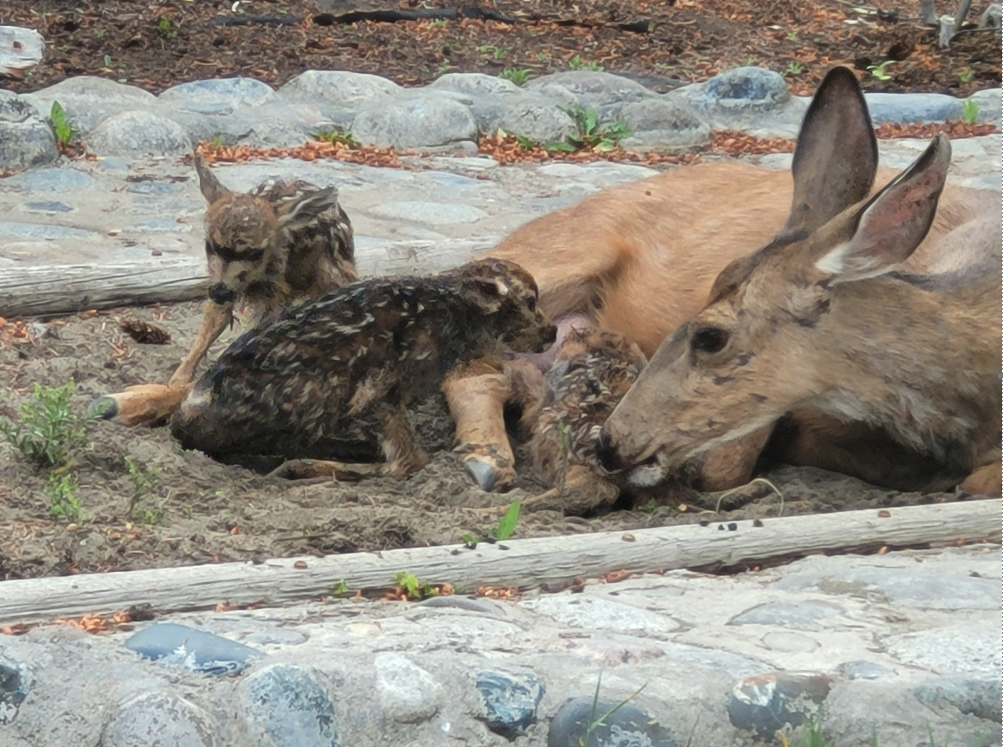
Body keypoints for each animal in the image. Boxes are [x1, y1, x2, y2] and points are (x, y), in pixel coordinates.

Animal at [445, 65, 1002, 498]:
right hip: (552, 259)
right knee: (468, 361)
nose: (610, 442)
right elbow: (723, 464)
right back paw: (487, 459)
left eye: (709, 337)